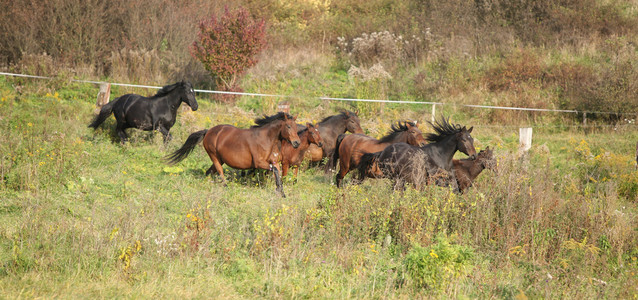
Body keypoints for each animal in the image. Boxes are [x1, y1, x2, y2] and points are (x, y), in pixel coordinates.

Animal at [168, 112, 302, 197]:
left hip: (220, 159)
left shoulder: (274, 162)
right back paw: (226, 187)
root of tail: (208, 131)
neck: (267, 139)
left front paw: (281, 192)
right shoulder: (259, 163)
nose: (297, 143)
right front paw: (280, 192)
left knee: (209, 172)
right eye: (288, 126)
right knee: (220, 171)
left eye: (296, 127)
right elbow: (275, 171)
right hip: (214, 157)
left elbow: (277, 173)